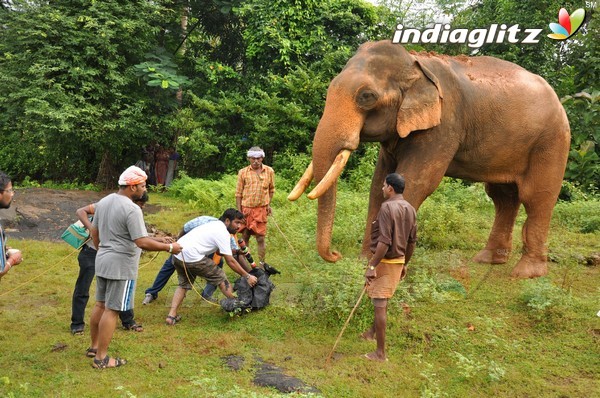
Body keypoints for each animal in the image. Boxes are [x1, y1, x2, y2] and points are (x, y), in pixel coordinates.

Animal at [288, 39, 568, 276]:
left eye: (366, 97)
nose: (336, 255)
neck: (415, 64)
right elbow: (379, 184)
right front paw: (366, 261)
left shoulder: (443, 125)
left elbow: (416, 181)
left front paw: (387, 267)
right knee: (503, 197)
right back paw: (488, 259)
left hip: (551, 141)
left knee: (536, 197)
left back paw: (526, 273)